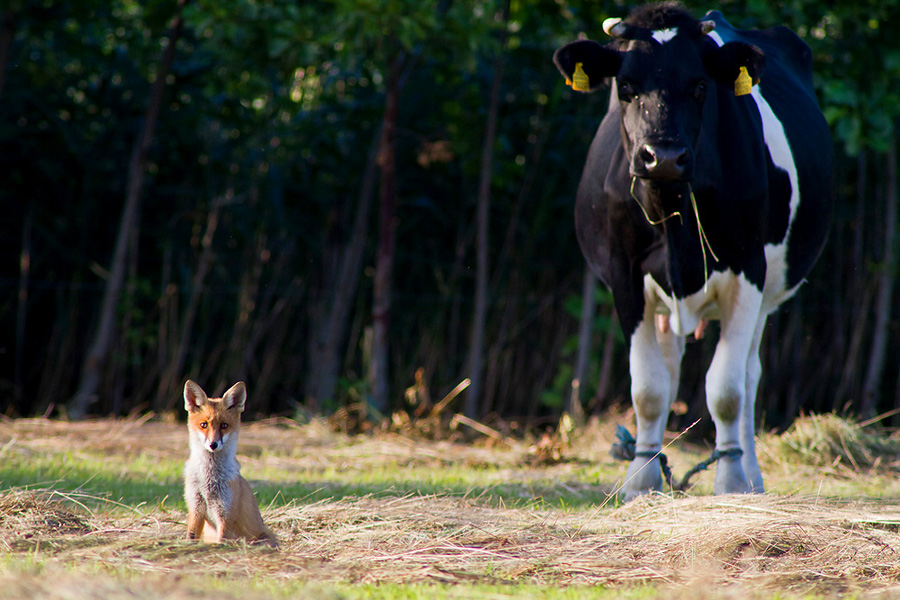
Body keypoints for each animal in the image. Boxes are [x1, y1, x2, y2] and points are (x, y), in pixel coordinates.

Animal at [184, 380, 278, 548]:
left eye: (224, 425)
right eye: (203, 425)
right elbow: (191, 537)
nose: (213, 445)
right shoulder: (196, 509)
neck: (209, 479)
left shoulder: (226, 515)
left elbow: (222, 541)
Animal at [552, 3, 832, 502]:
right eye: (626, 86)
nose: (662, 156)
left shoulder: (748, 272)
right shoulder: (625, 277)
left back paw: (750, 475)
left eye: (700, 86)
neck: (673, 214)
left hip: (768, 295)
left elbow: (726, 389)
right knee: (669, 368)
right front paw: (640, 482)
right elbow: (648, 389)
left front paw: (732, 481)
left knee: (749, 375)